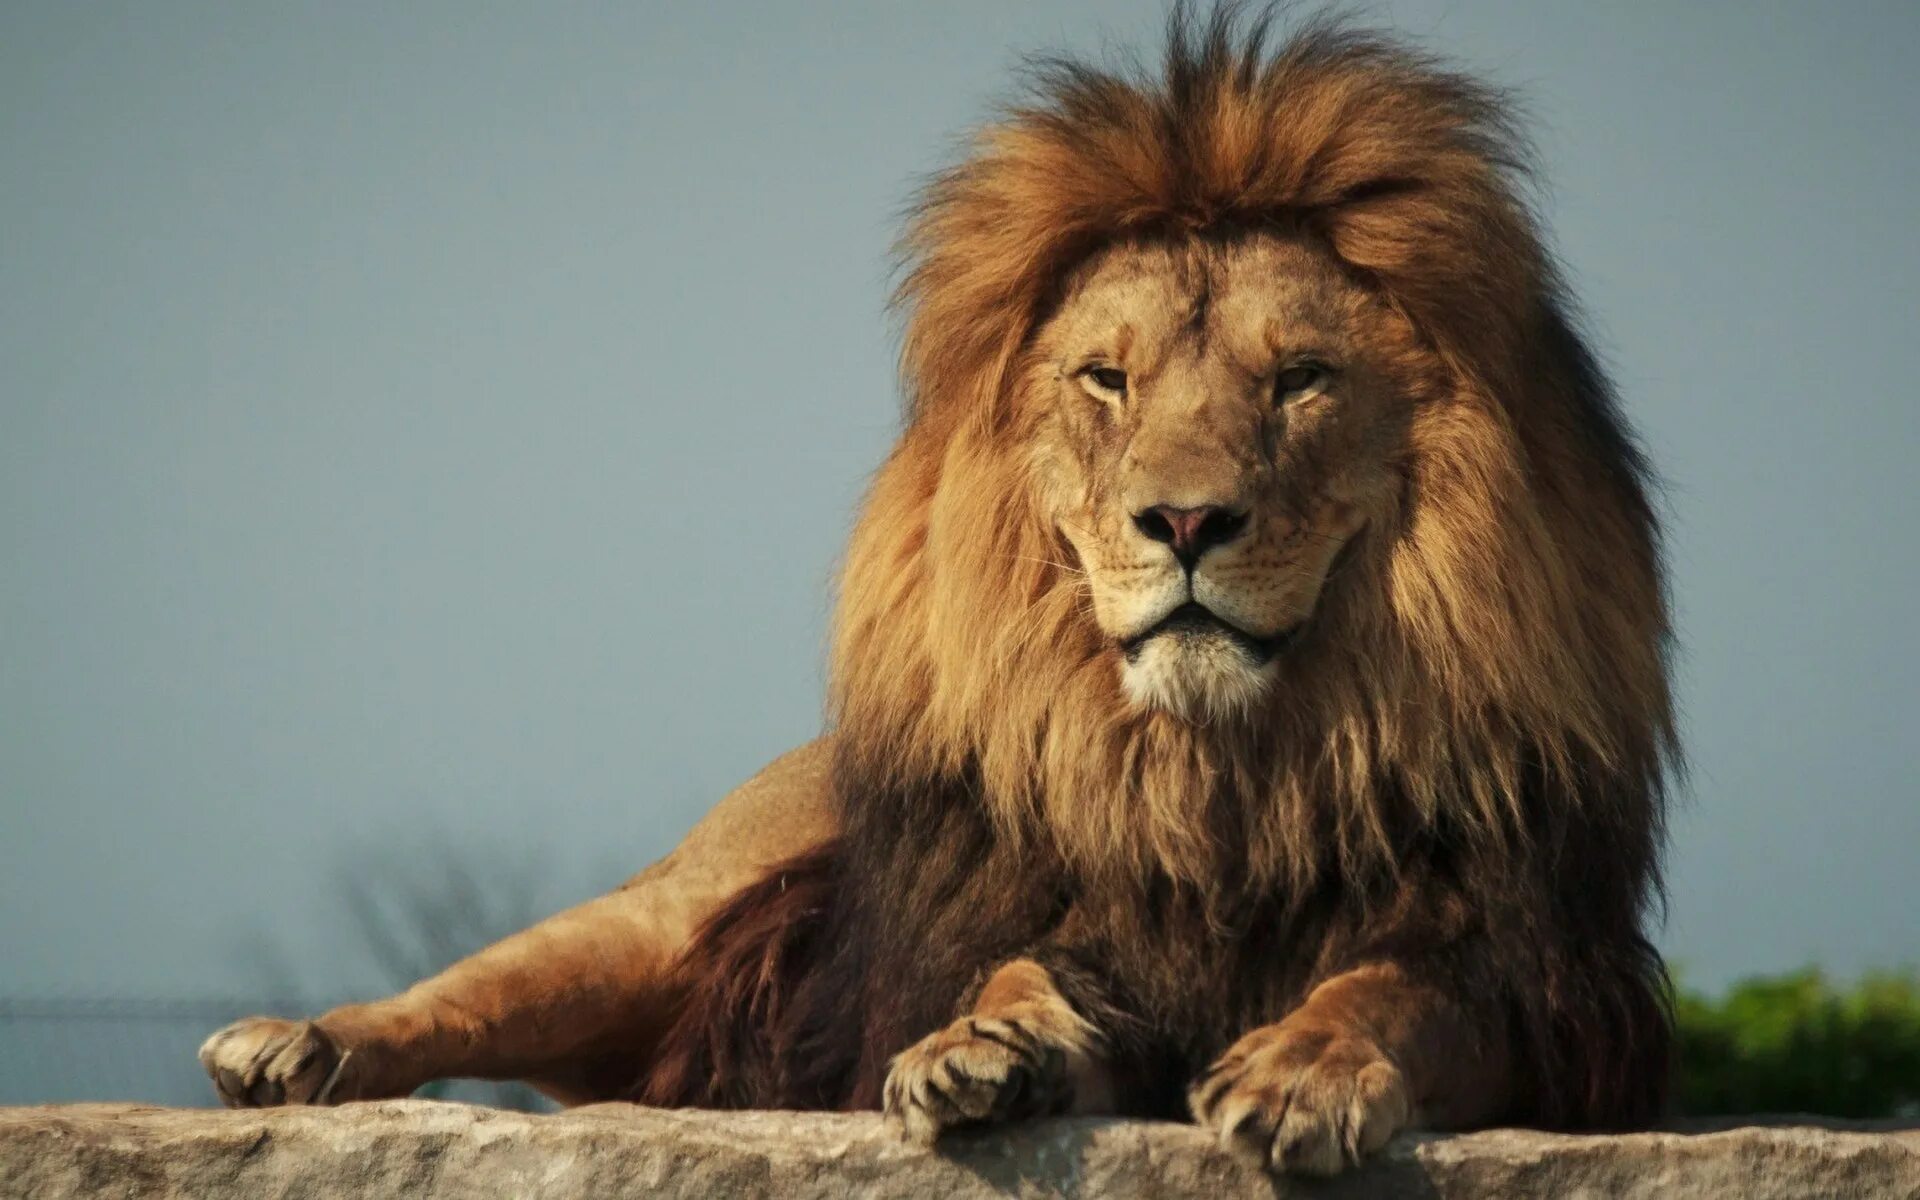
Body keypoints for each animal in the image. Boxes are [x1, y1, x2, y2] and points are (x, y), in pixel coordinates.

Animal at [202, 11, 1674, 1167]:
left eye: (1301, 380)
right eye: (1108, 380)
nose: (1186, 520)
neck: (1216, 777)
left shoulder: (1549, 1003)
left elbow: (1395, 991)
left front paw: (1304, 1069)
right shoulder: (1057, 936)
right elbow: (1019, 969)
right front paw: (983, 1043)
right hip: (655, 917)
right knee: (463, 990)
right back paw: (292, 1049)